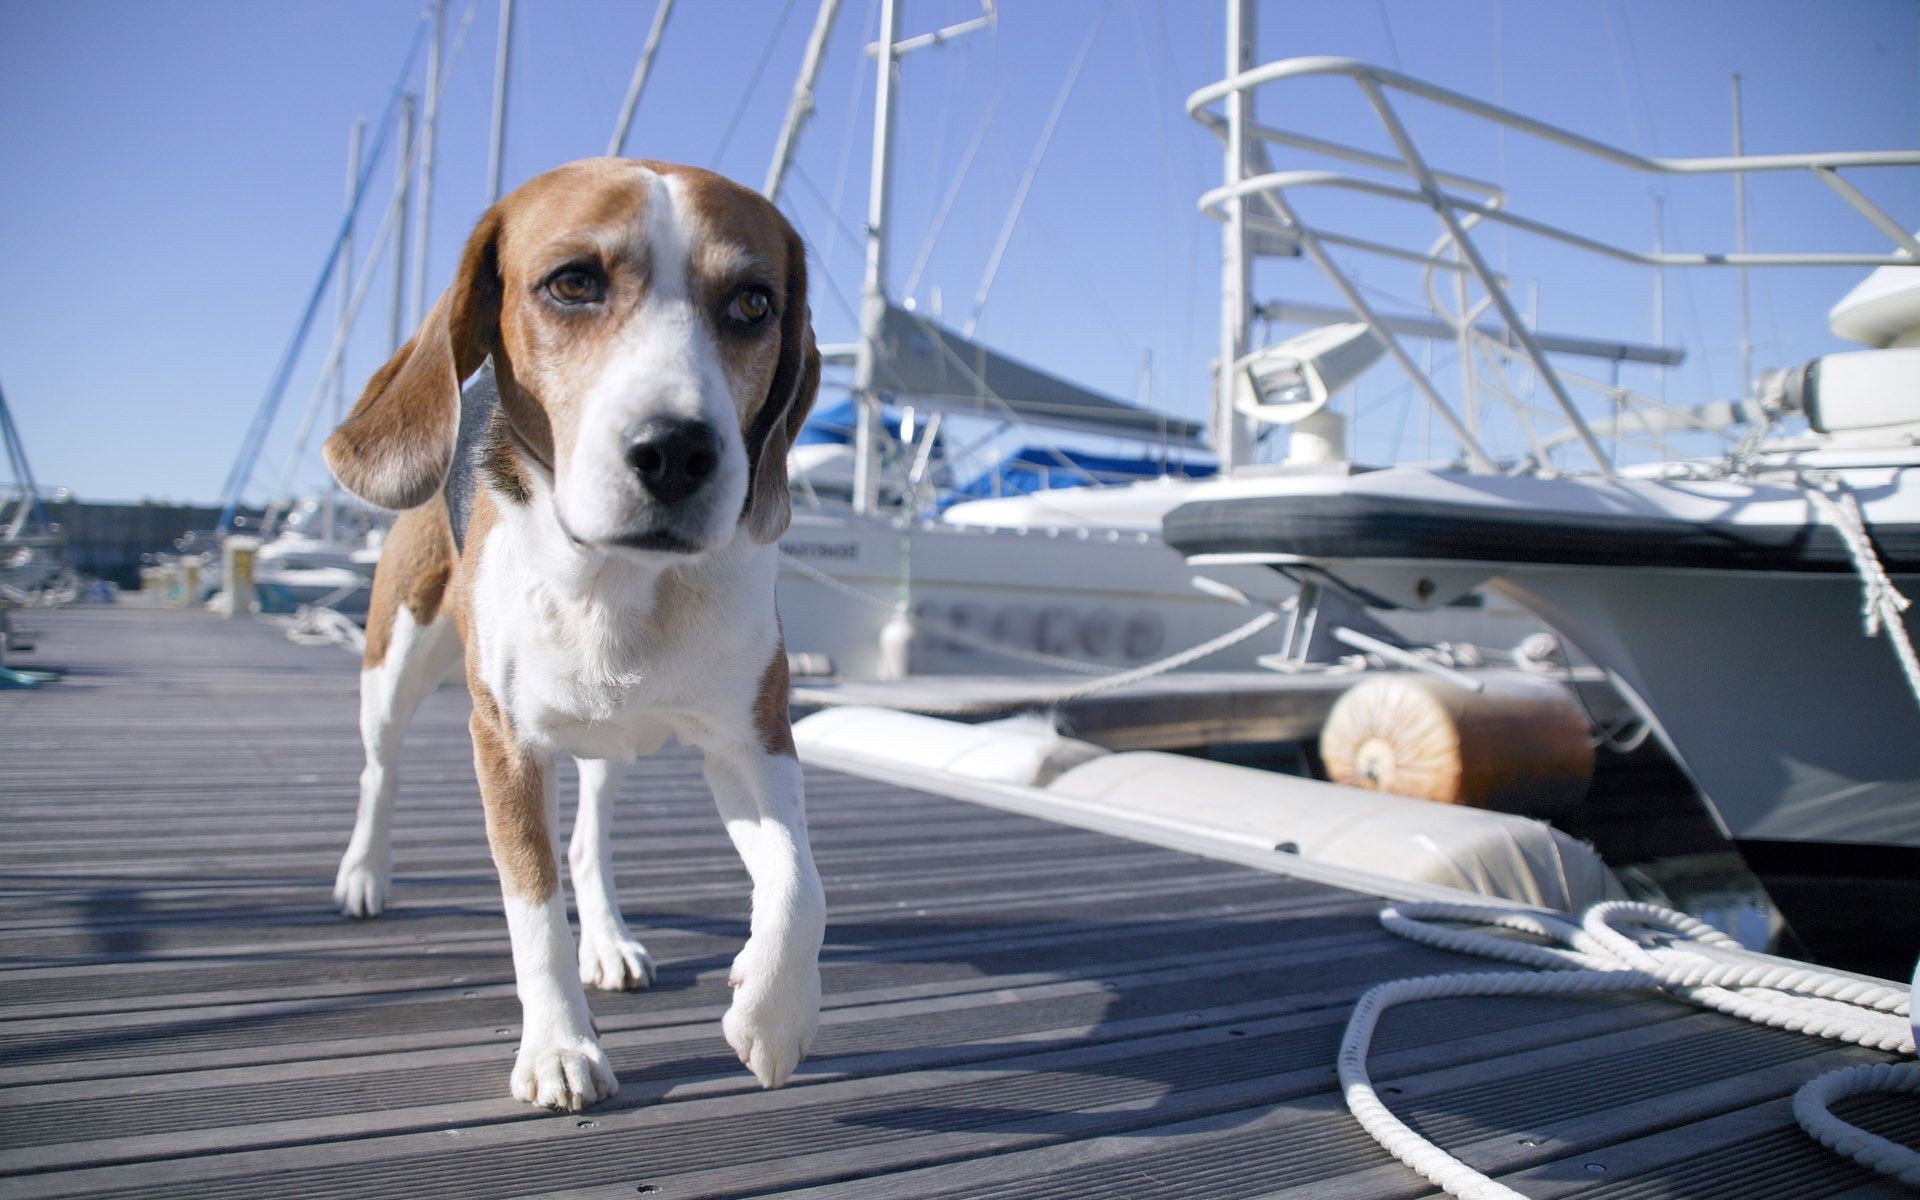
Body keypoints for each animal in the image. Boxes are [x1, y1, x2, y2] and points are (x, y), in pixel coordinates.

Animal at [320, 159, 825, 1113]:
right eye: (572, 283)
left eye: (752, 303)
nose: (677, 452)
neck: (620, 584)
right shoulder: (505, 741)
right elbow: (532, 903)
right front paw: (559, 1047)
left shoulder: (753, 739)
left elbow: (799, 885)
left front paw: (772, 1016)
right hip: (392, 665)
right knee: (377, 769)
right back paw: (365, 873)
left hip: (610, 742)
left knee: (590, 841)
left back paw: (610, 940)